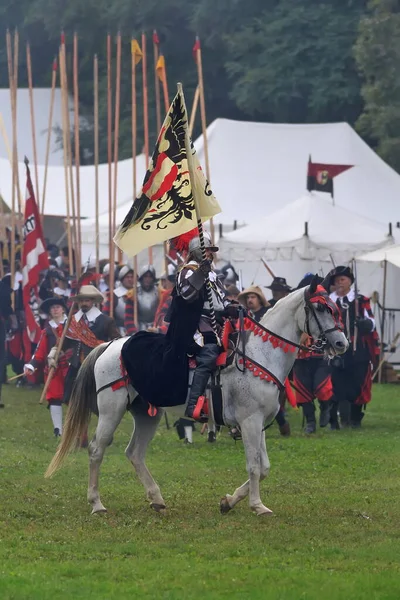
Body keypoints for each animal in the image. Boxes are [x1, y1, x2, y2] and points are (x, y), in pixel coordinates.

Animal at [46, 276, 346, 516]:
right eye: (321, 307)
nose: (342, 343)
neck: (261, 355)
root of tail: (109, 345)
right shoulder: (249, 421)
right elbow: (253, 465)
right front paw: (257, 506)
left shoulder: (258, 423)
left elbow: (264, 468)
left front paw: (228, 501)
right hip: (112, 410)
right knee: (97, 449)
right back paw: (97, 503)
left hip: (146, 414)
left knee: (134, 453)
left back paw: (157, 499)